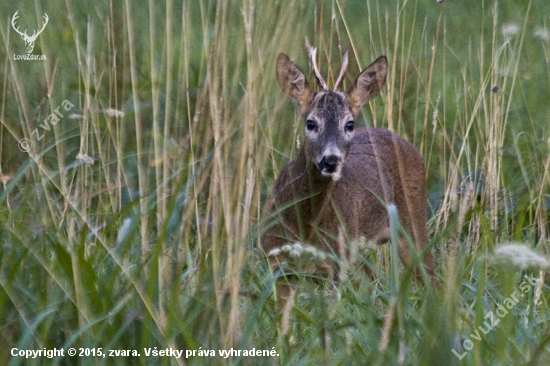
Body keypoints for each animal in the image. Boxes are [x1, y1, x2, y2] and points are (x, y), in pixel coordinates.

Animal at [264, 48, 436, 294]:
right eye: (310, 123)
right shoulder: (274, 258)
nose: (331, 161)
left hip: (414, 220)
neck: (304, 228)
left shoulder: (335, 262)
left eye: (349, 124)